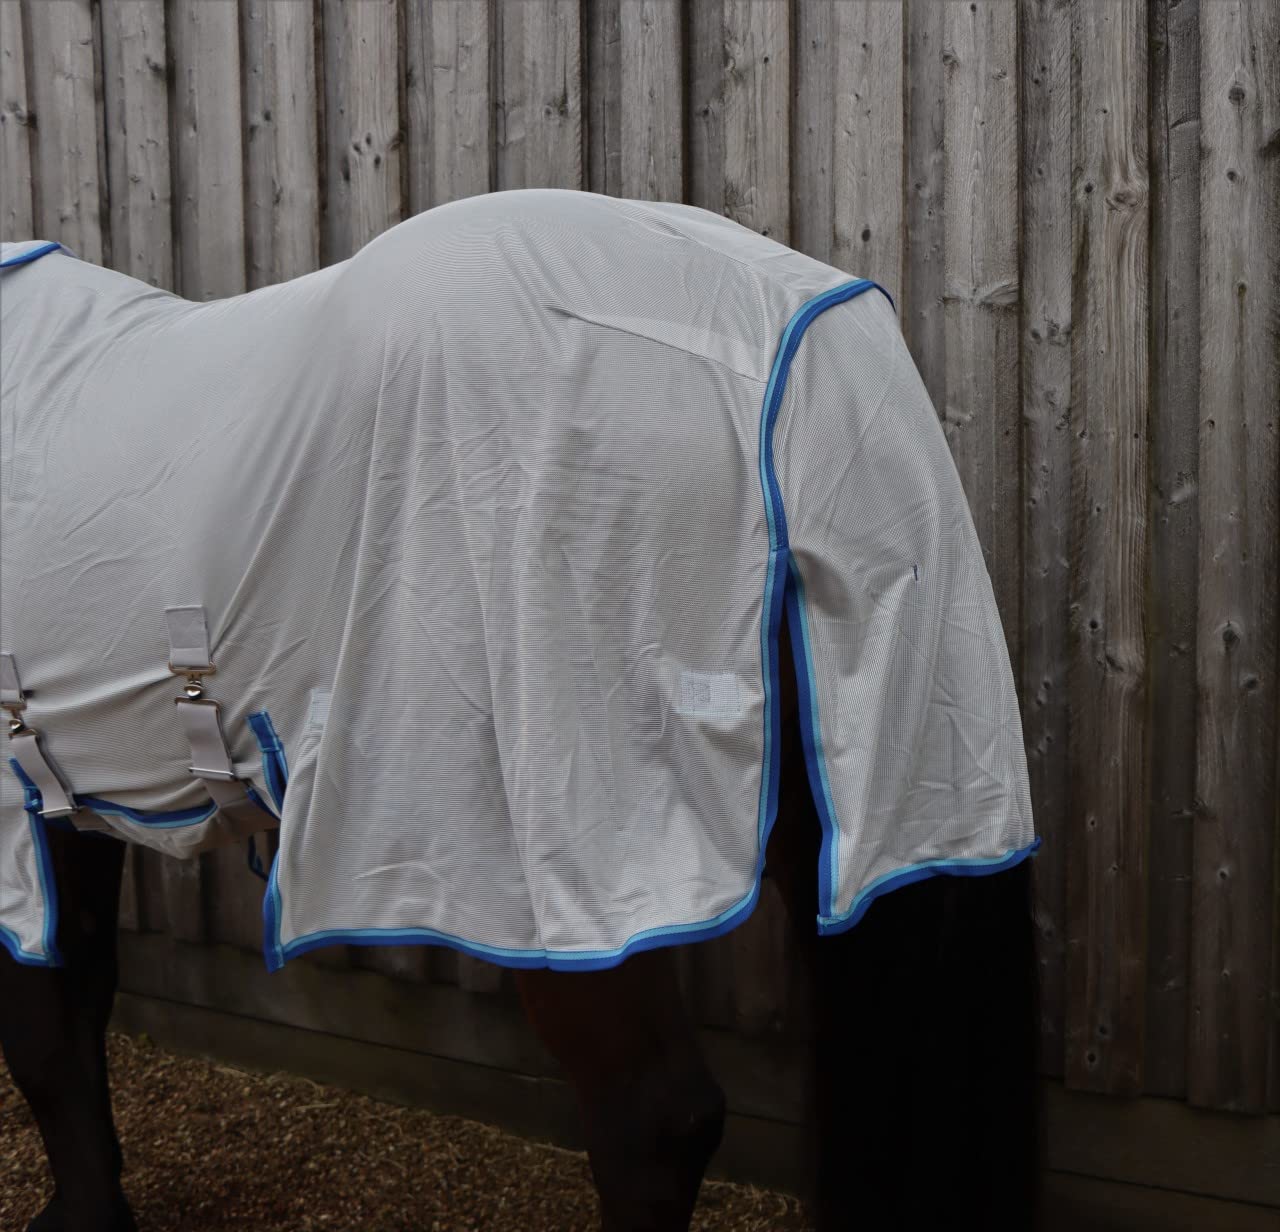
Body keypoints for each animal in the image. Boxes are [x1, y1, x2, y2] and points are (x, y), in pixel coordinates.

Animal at [0, 189, 1040, 1231]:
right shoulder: (65, 802)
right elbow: (78, 992)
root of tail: (787, 335)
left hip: (560, 865)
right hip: (875, 793)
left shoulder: (14, 819)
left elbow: (43, 1033)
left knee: (655, 1117)